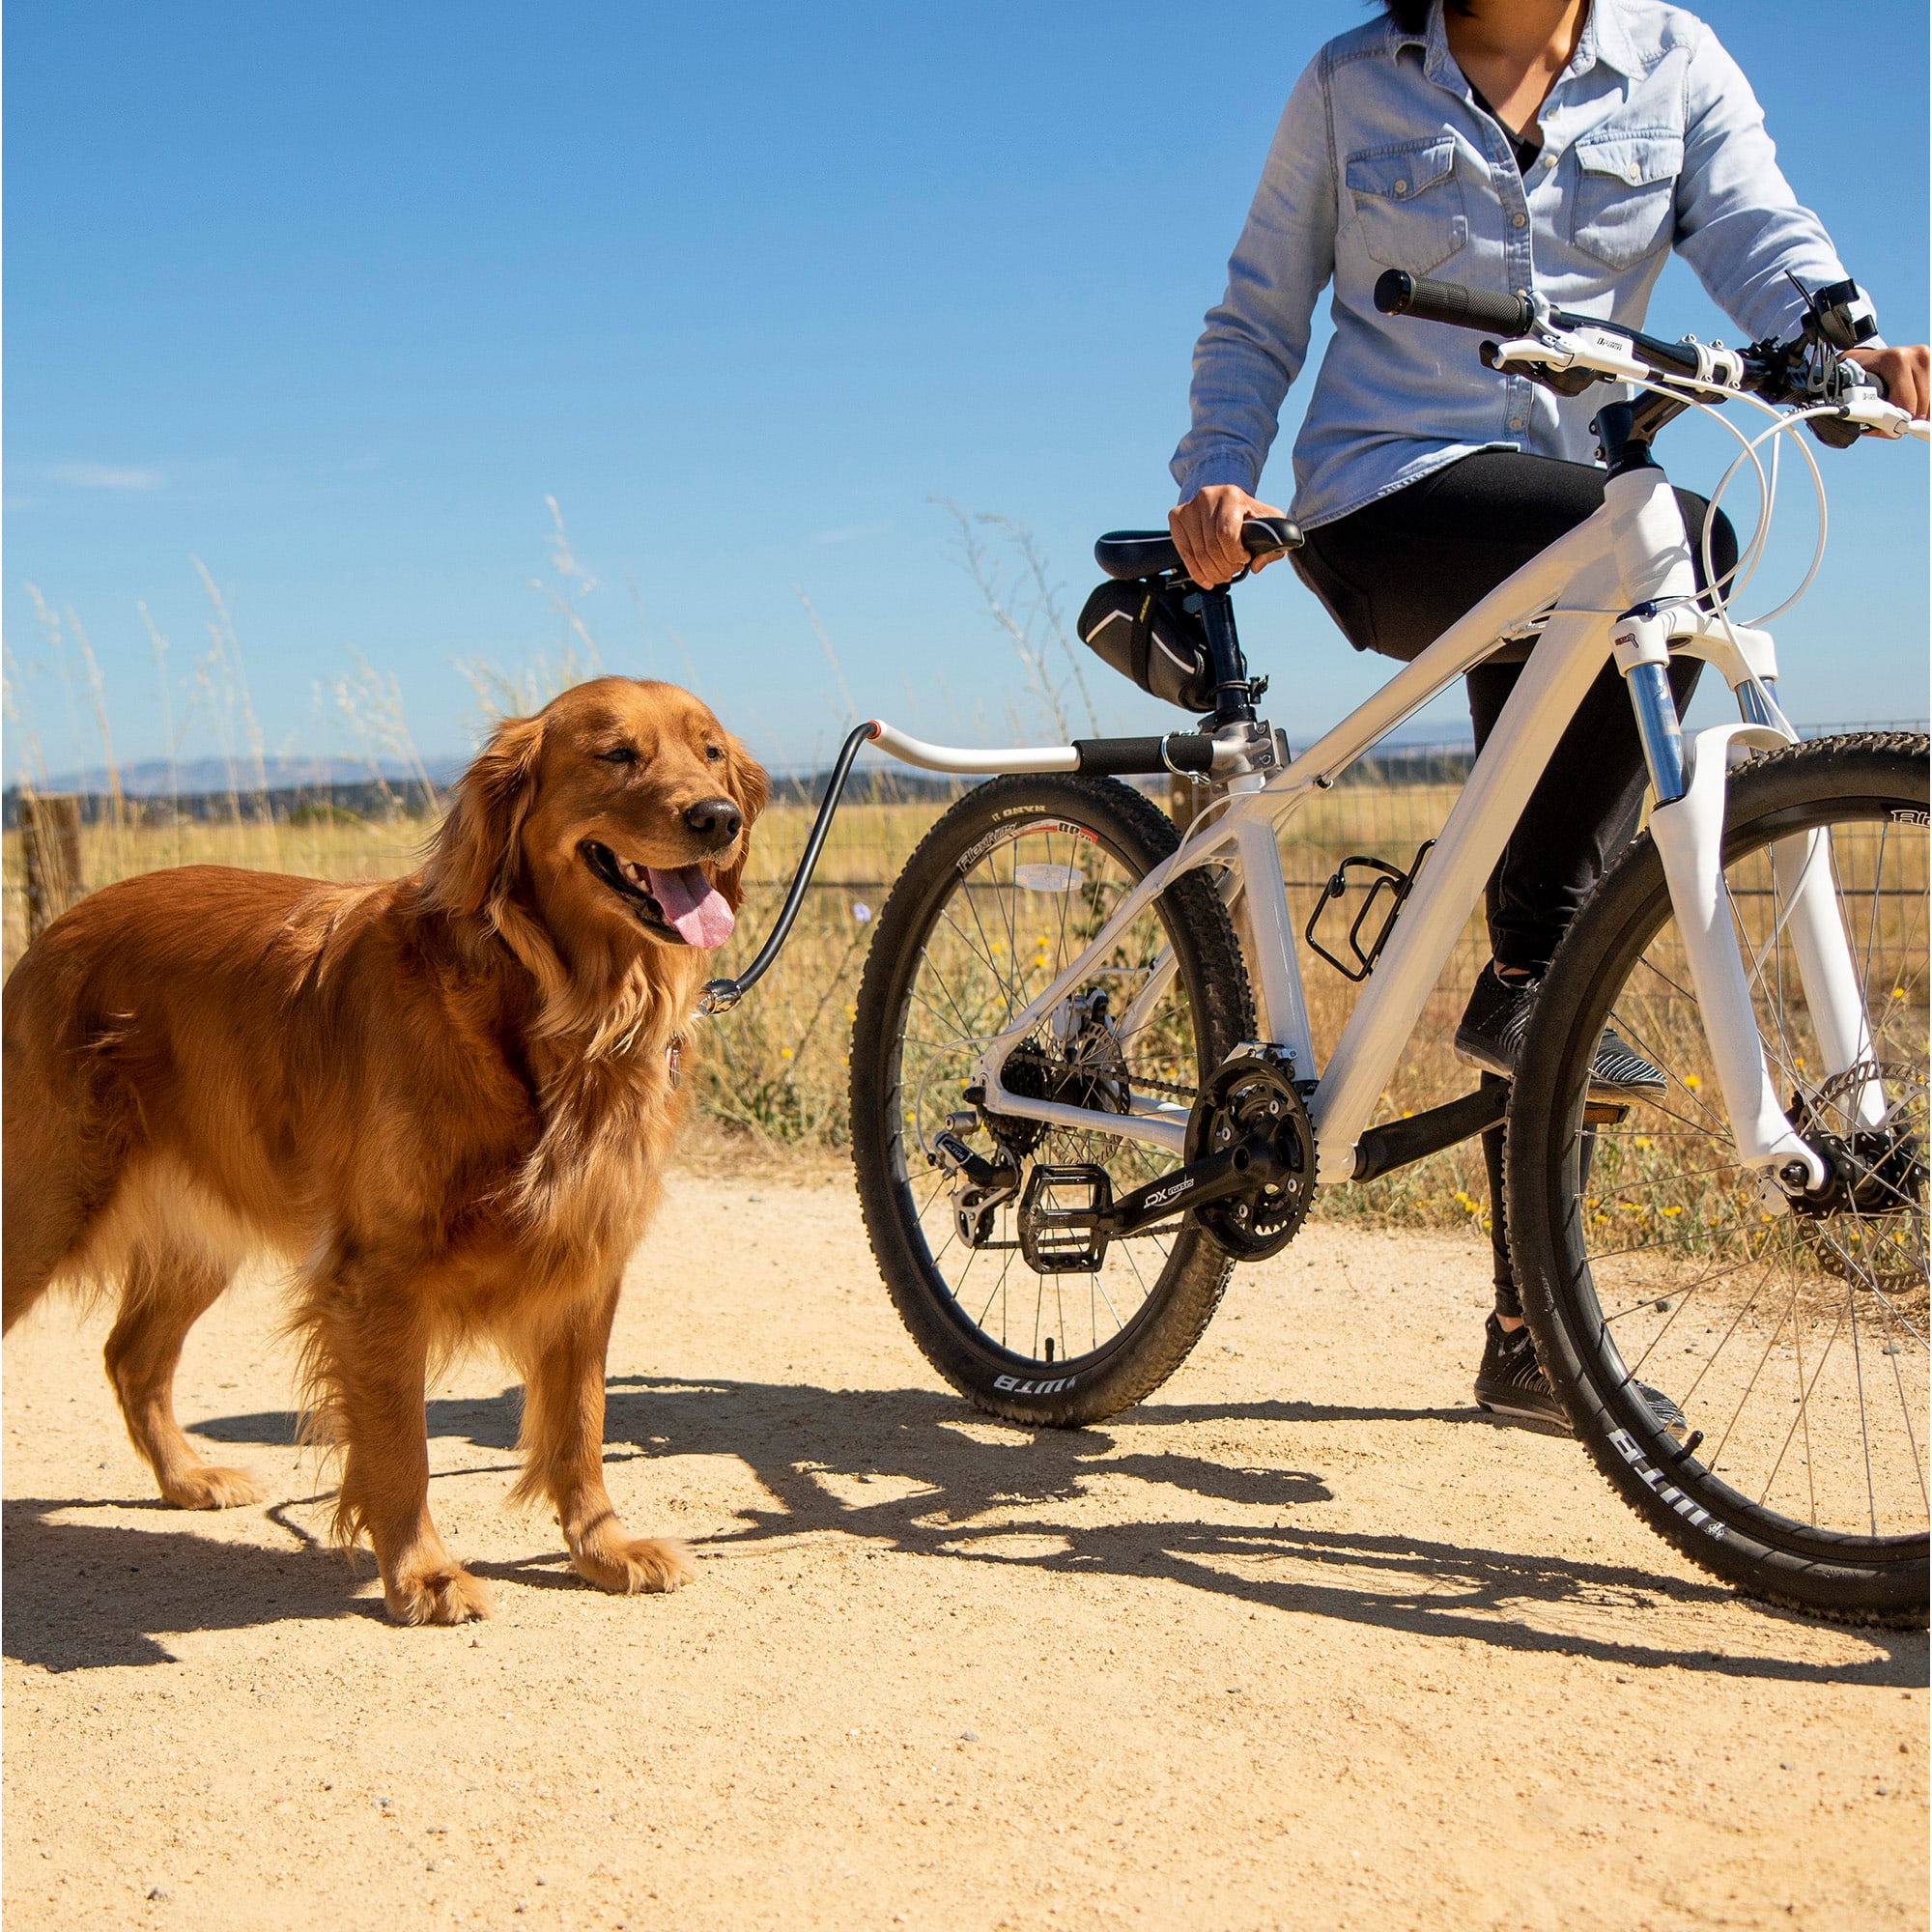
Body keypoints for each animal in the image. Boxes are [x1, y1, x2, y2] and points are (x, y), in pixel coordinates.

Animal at [1, 676, 769, 1615]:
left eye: (710, 751)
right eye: (616, 753)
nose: (717, 817)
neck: (555, 1008)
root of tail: (57, 928)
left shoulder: (587, 1256)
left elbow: (580, 1425)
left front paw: (603, 1548)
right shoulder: (378, 1271)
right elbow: (402, 1446)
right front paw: (423, 1573)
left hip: (200, 1228)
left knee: (132, 1355)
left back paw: (187, 1478)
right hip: (45, 1200)